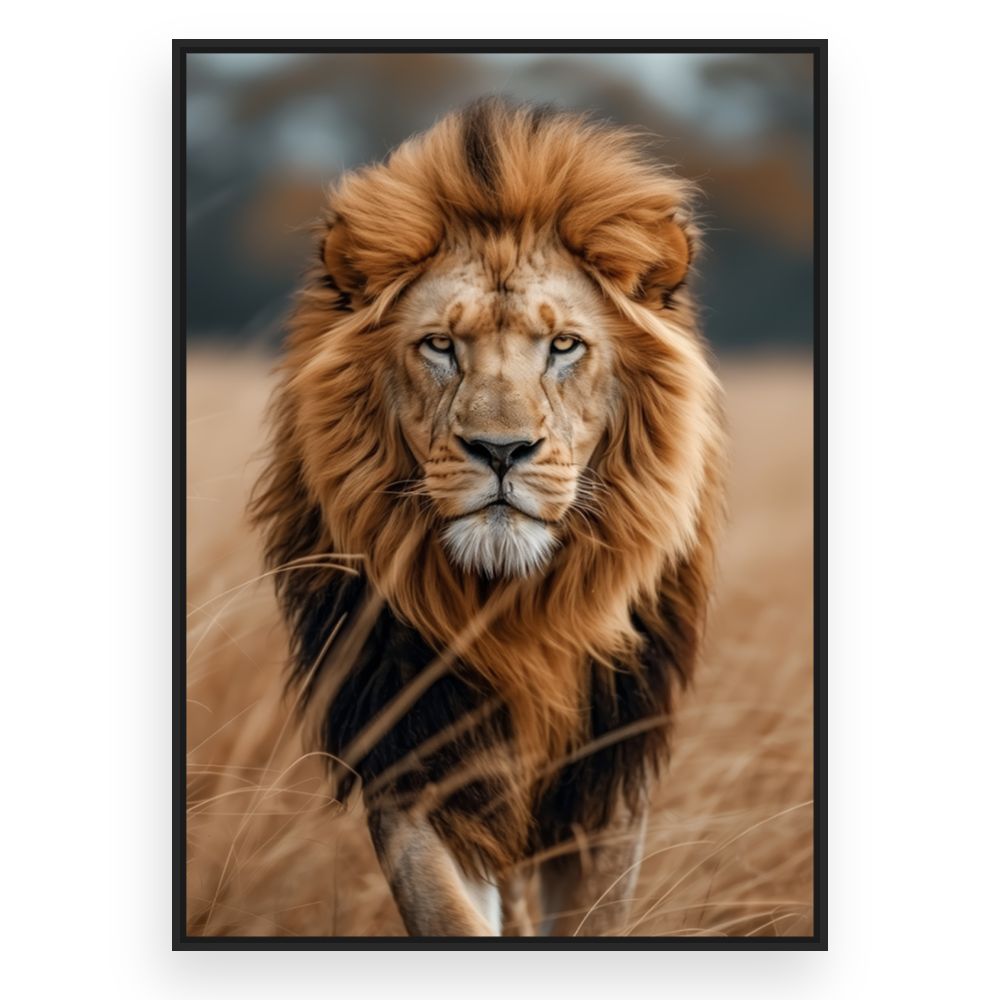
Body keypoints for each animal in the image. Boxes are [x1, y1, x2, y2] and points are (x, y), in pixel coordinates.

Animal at [250, 98, 726, 937]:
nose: (500, 450)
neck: (514, 615)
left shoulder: (606, 782)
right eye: (440, 344)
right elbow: (448, 914)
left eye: (565, 345)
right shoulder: (416, 756)